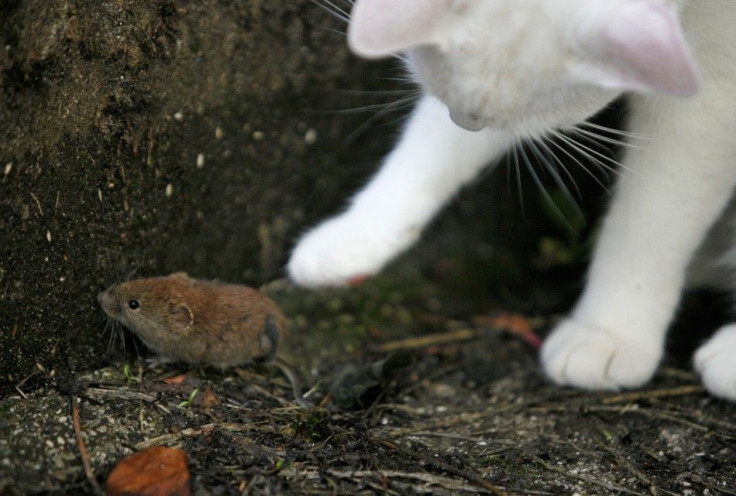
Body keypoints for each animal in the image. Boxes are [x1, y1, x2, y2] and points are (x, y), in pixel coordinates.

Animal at [288, 0, 736, 400]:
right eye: (460, 108)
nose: (466, 121)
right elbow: (433, 147)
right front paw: (355, 234)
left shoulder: (709, 97)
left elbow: (649, 221)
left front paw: (607, 330)